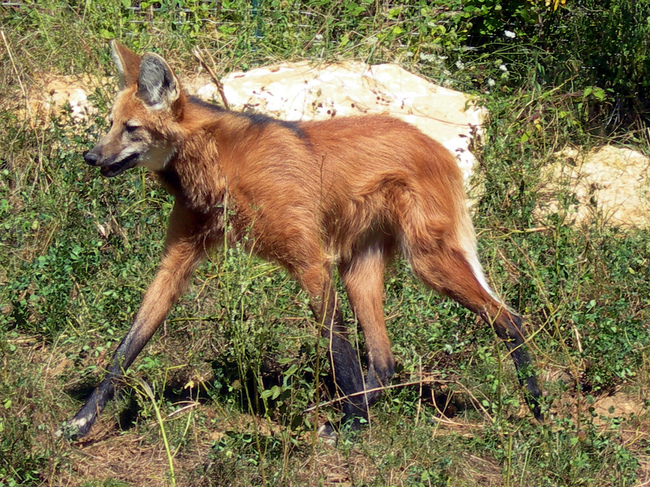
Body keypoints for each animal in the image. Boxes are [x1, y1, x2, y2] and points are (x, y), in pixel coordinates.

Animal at [60, 42, 540, 438]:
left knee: (510, 319)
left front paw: (353, 430)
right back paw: (363, 408)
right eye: (110, 125)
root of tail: (437, 146)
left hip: (427, 261)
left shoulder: (310, 261)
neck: (217, 166)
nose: (90, 156)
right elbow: (128, 345)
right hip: (359, 269)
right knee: (385, 360)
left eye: (132, 128)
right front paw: (82, 421)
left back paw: (535, 411)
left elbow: (338, 349)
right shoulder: (178, 259)